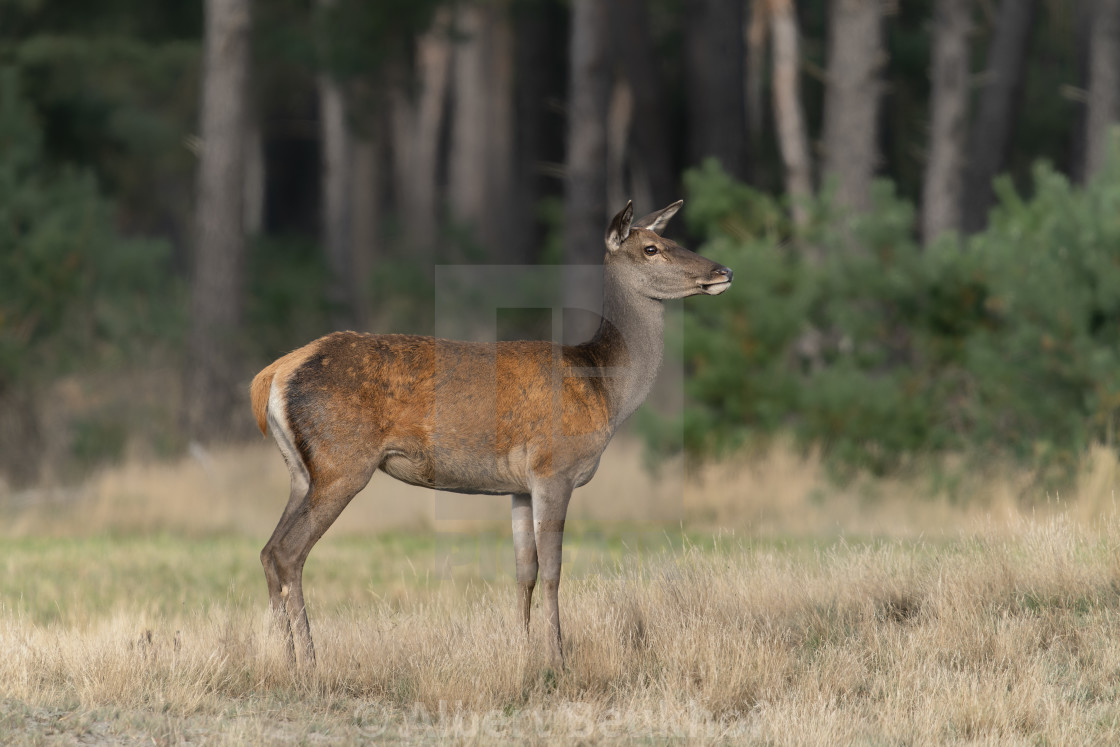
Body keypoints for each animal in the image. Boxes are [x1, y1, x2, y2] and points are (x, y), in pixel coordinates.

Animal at [248, 201, 730, 667]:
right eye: (651, 248)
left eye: (670, 239)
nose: (722, 270)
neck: (605, 392)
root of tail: (272, 374)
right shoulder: (554, 469)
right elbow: (553, 570)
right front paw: (558, 658)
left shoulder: (518, 486)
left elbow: (524, 572)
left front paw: (523, 651)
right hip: (342, 462)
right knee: (290, 553)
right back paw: (309, 661)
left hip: (302, 471)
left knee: (269, 551)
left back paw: (282, 656)